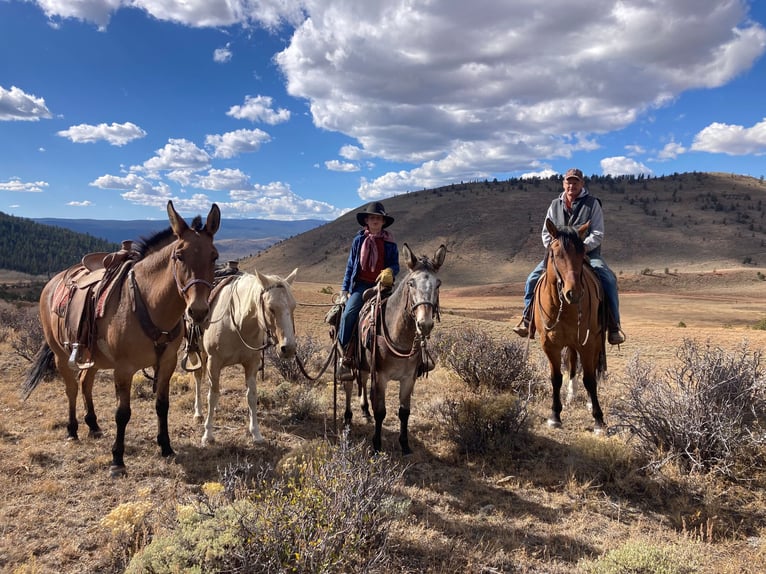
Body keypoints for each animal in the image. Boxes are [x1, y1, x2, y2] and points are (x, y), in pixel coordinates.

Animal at [22, 200, 220, 480]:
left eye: (214, 256)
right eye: (179, 256)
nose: (199, 311)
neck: (148, 302)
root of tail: (52, 283)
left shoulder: (167, 363)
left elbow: (162, 405)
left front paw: (166, 447)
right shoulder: (124, 369)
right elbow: (122, 413)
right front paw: (117, 459)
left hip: (92, 358)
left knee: (85, 383)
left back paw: (93, 425)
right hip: (61, 354)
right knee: (71, 388)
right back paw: (72, 430)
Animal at [192, 268, 300, 446]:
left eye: (293, 307)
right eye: (271, 308)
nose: (288, 348)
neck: (237, 324)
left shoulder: (251, 364)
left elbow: (251, 396)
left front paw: (256, 433)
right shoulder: (214, 362)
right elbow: (212, 396)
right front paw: (208, 434)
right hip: (197, 353)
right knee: (198, 378)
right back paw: (199, 412)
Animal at [344, 242, 448, 454]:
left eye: (438, 284)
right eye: (411, 283)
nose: (424, 324)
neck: (399, 338)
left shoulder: (408, 379)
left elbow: (404, 412)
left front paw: (405, 444)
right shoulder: (381, 377)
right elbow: (381, 412)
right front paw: (376, 445)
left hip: (365, 365)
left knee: (362, 380)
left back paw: (364, 410)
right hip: (348, 362)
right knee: (349, 385)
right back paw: (348, 418)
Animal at [536, 218, 608, 434]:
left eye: (582, 252)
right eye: (556, 253)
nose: (573, 293)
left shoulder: (588, 343)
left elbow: (590, 380)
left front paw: (598, 420)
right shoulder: (550, 345)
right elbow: (556, 378)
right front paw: (555, 416)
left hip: (595, 341)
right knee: (572, 362)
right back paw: (571, 394)